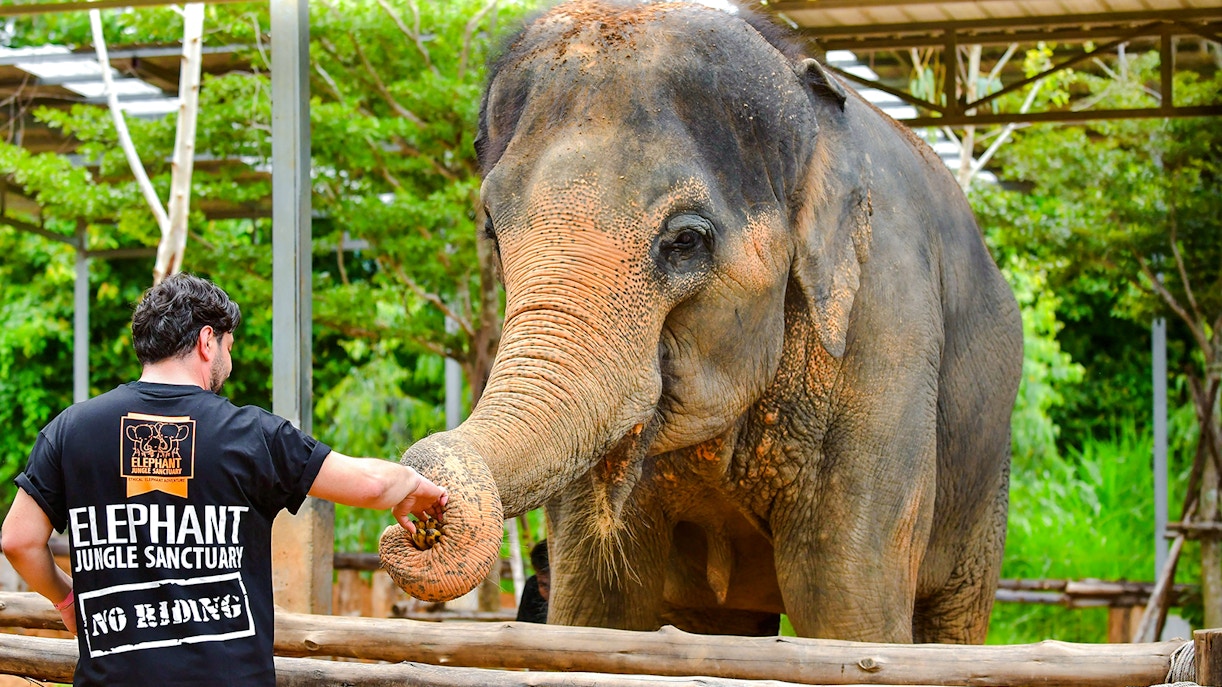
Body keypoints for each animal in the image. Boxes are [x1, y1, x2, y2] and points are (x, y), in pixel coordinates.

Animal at [380, 0, 1024, 644]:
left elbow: (846, 601)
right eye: (491, 229)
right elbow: (597, 607)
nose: (418, 518)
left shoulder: (885, 328)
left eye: (686, 240)